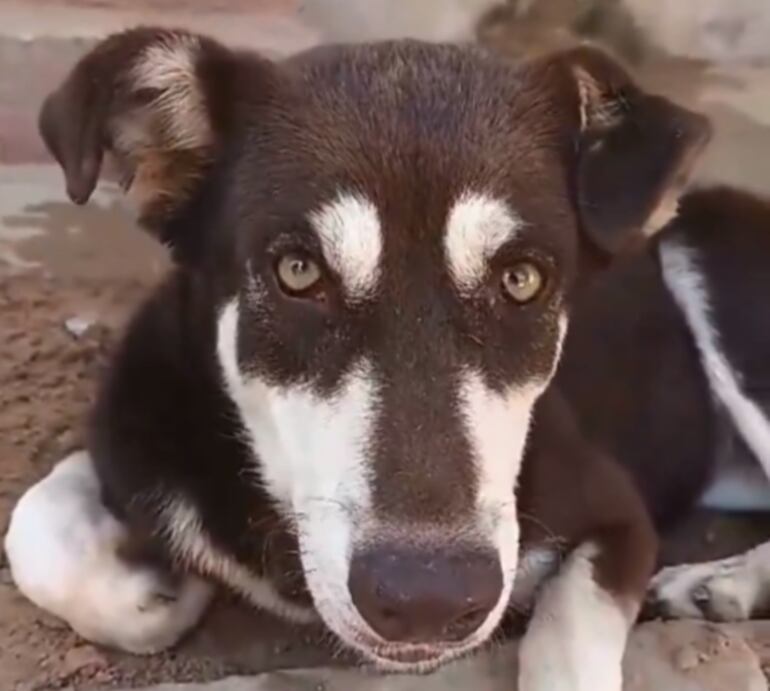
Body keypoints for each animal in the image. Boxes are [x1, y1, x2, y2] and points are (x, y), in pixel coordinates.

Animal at [1, 27, 708, 691]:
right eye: (297, 271)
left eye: (521, 280)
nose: (428, 598)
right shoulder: (129, 432)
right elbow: (34, 532)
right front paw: (155, 588)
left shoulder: (618, 517)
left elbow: (570, 636)